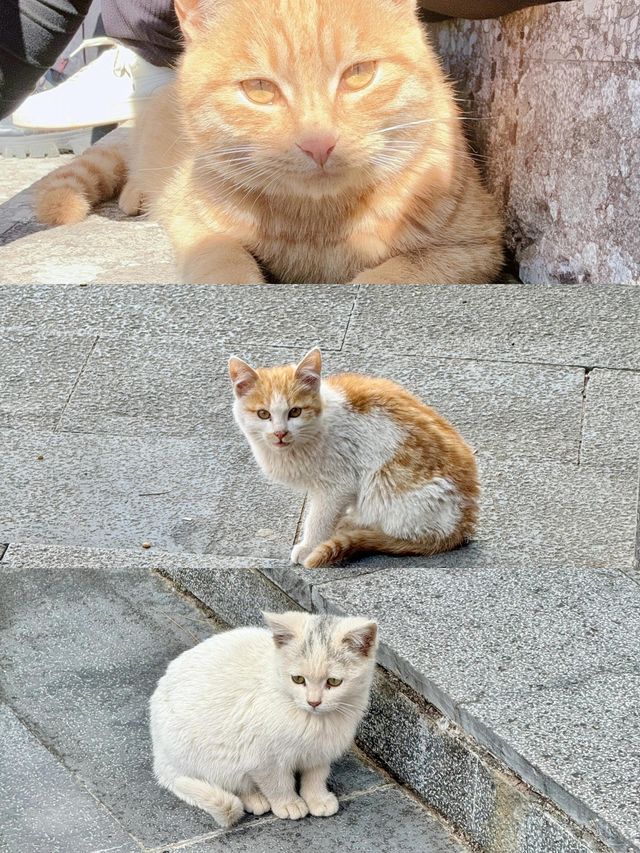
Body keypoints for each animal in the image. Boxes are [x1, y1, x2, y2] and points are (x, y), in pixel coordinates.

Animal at [35, 0, 504, 286]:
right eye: (259, 89)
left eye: (359, 74)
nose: (318, 143)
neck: (321, 225)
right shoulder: (195, 221)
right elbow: (221, 258)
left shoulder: (474, 248)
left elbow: (392, 275)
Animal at [149, 608, 380, 828]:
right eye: (298, 679)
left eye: (333, 681)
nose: (313, 702)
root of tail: (160, 752)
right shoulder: (261, 756)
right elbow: (276, 782)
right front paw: (288, 803)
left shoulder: (321, 750)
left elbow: (316, 774)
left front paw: (317, 798)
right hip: (213, 753)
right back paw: (254, 798)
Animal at [230, 342, 480, 568]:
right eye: (263, 414)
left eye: (295, 412)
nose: (280, 433)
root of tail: (463, 525)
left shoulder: (336, 485)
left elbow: (319, 518)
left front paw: (309, 546)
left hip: (386, 483)